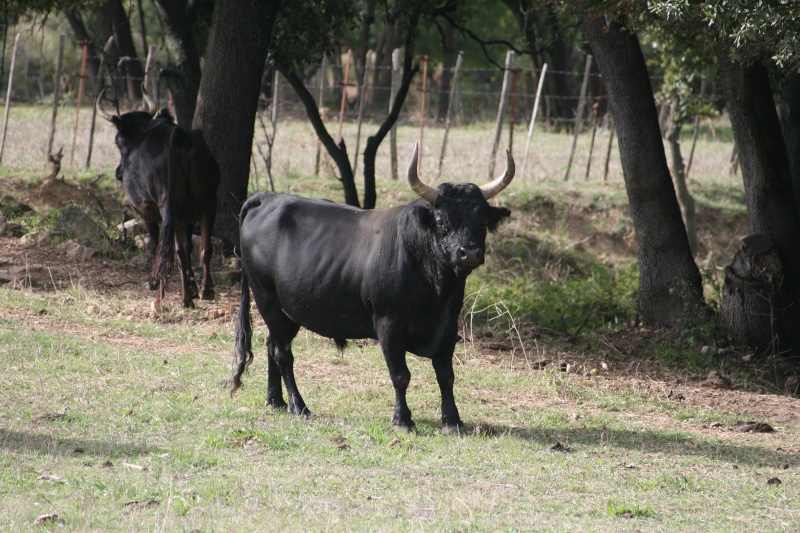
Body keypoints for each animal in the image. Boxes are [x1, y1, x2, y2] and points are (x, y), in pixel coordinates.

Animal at [97, 91, 222, 308]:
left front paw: (154, 281)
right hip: (207, 201)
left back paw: (185, 299)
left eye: (118, 142)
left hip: (171, 207)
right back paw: (206, 290)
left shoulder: (145, 210)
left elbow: (157, 242)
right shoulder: (189, 215)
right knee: (204, 247)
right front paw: (193, 285)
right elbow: (189, 245)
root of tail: (179, 138)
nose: (119, 172)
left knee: (175, 250)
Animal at [234, 142, 516, 432]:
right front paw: (403, 420)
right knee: (283, 354)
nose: (469, 253)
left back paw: (275, 401)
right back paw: (299, 406)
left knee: (271, 344)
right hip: (266, 298)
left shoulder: (448, 325)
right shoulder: (388, 323)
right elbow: (400, 375)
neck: (435, 290)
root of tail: (268, 197)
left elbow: (446, 375)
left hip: (286, 310)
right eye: (441, 221)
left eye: (482, 222)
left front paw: (452, 420)